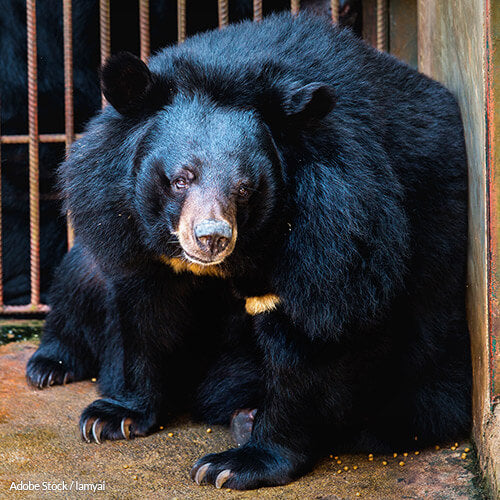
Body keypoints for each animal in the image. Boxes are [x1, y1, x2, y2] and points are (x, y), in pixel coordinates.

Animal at [25, 10, 470, 488]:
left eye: (243, 187)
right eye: (180, 179)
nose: (211, 237)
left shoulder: (338, 229)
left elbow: (313, 335)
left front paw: (234, 463)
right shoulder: (126, 218)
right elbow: (146, 310)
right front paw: (111, 417)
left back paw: (246, 416)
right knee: (82, 273)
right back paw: (50, 366)